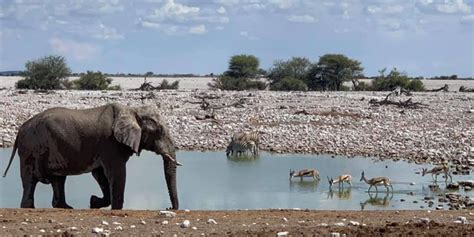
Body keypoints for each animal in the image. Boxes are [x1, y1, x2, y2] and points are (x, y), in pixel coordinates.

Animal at [2, 103, 181, 210]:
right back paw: (29, 208)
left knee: (58, 179)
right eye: (159, 131)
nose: (168, 208)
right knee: (30, 179)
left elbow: (100, 174)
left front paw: (93, 202)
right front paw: (115, 209)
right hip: (30, 148)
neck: (132, 110)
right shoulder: (110, 143)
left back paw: (66, 207)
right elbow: (116, 173)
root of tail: (21, 128)